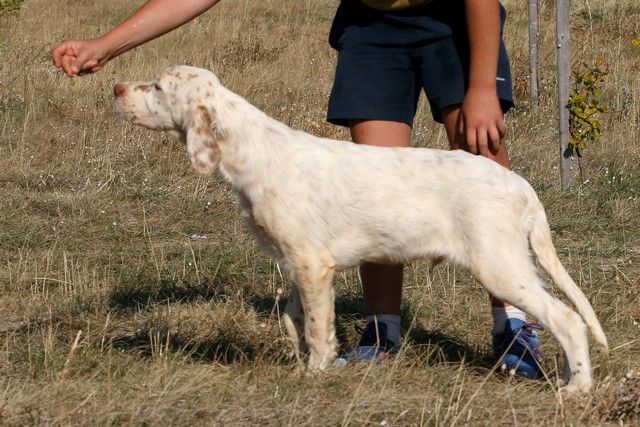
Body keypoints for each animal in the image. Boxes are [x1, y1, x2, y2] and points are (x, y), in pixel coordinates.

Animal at [112, 64, 608, 394]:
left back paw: (576, 389)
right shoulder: (299, 264)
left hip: (500, 265)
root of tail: (520, 185)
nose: (115, 87)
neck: (256, 150)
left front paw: (315, 373)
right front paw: (303, 359)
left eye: (157, 87)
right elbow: (295, 318)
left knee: (567, 318)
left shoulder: (311, 263)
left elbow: (316, 327)